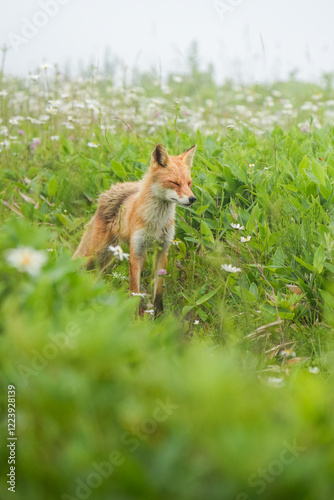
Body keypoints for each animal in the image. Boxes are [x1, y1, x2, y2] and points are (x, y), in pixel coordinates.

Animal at [73, 143, 196, 312]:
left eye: (189, 183)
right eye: (175, 183)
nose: (193, 199)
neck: (156, 223)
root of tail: (111, 190)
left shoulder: (162, 250)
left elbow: (158, 292)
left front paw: (158, 314)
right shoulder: (137, 250)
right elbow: (134, 291)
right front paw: (136, 315)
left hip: (106, 257)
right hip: (95, 253)